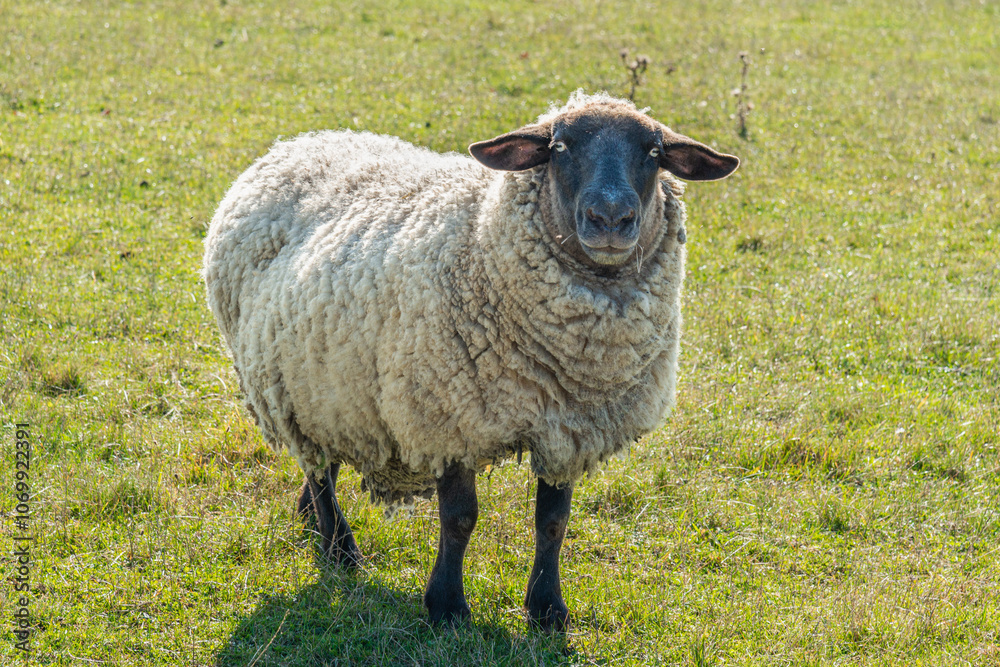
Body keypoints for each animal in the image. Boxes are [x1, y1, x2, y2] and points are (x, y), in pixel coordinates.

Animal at [203, 90, 739, 630]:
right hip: (282, 390)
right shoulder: (448, 420)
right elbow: (460, 519)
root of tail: (297, 144)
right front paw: (446, 605)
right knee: (316, 470)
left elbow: (553, 522)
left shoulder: (566, 430)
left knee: (326, 460)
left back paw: (311, 519)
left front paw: (548, 609)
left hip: (326, 382)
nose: (611, 219)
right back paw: (339, 547)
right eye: (560, 147)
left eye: (653, 152)